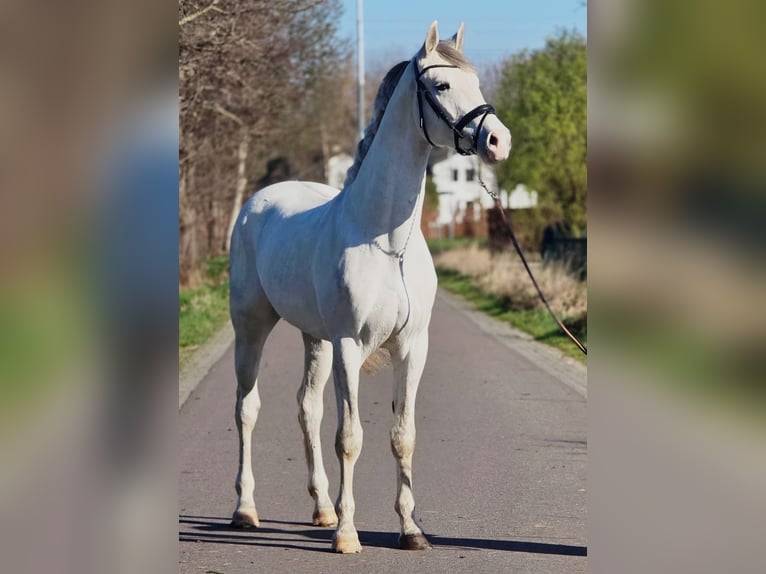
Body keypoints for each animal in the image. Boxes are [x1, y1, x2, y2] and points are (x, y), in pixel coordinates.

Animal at [228, 21, 511, 553]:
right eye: (442, 84)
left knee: (307, 408)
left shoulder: (412, 347)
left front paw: (410, 530)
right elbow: (350, 437)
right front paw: (347, 534)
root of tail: (258, 201)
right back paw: (246, 510)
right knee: (247, 409)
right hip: (252, 328)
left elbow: (403, 435)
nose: (497, 140)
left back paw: (321, 508)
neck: (386, 242)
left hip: (313, 338)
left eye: (478, 83)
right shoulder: (348, 345)